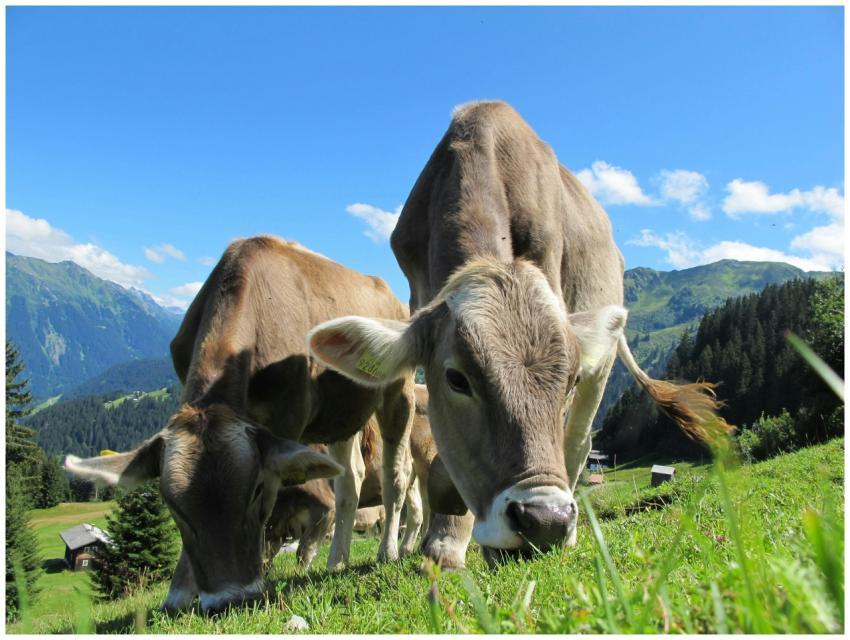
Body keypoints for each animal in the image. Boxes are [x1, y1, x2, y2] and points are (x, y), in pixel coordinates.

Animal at [64, 236, 417, 612]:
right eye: (172, 505)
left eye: (257, 490)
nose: (228, 600)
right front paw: (179, 592)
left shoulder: (287, 420)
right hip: (341, 414)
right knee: (350, 480)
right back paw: (337, 560)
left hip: (399, 391)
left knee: (396, 476)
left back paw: (388, 552)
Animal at [308, 101, 730, 568]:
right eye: (456, 379)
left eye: (569, 379)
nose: (546, 521)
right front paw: (445, 543)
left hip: (601, 367)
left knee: (579, 443)